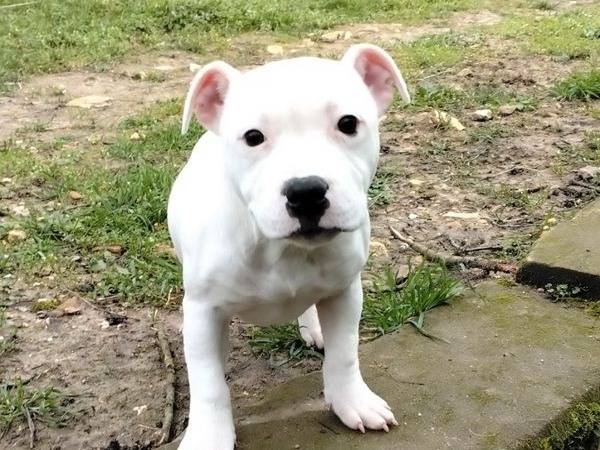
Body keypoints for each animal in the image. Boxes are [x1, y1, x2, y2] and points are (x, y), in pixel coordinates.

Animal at [168, 43, 410, 449]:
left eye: (348, 123)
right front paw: (208, 437)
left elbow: (345, 353)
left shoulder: (345, 292)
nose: (306, 191)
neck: (279, 248)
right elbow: (209, 384)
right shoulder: (202, 311)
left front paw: (352, 402)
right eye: (253, 137)